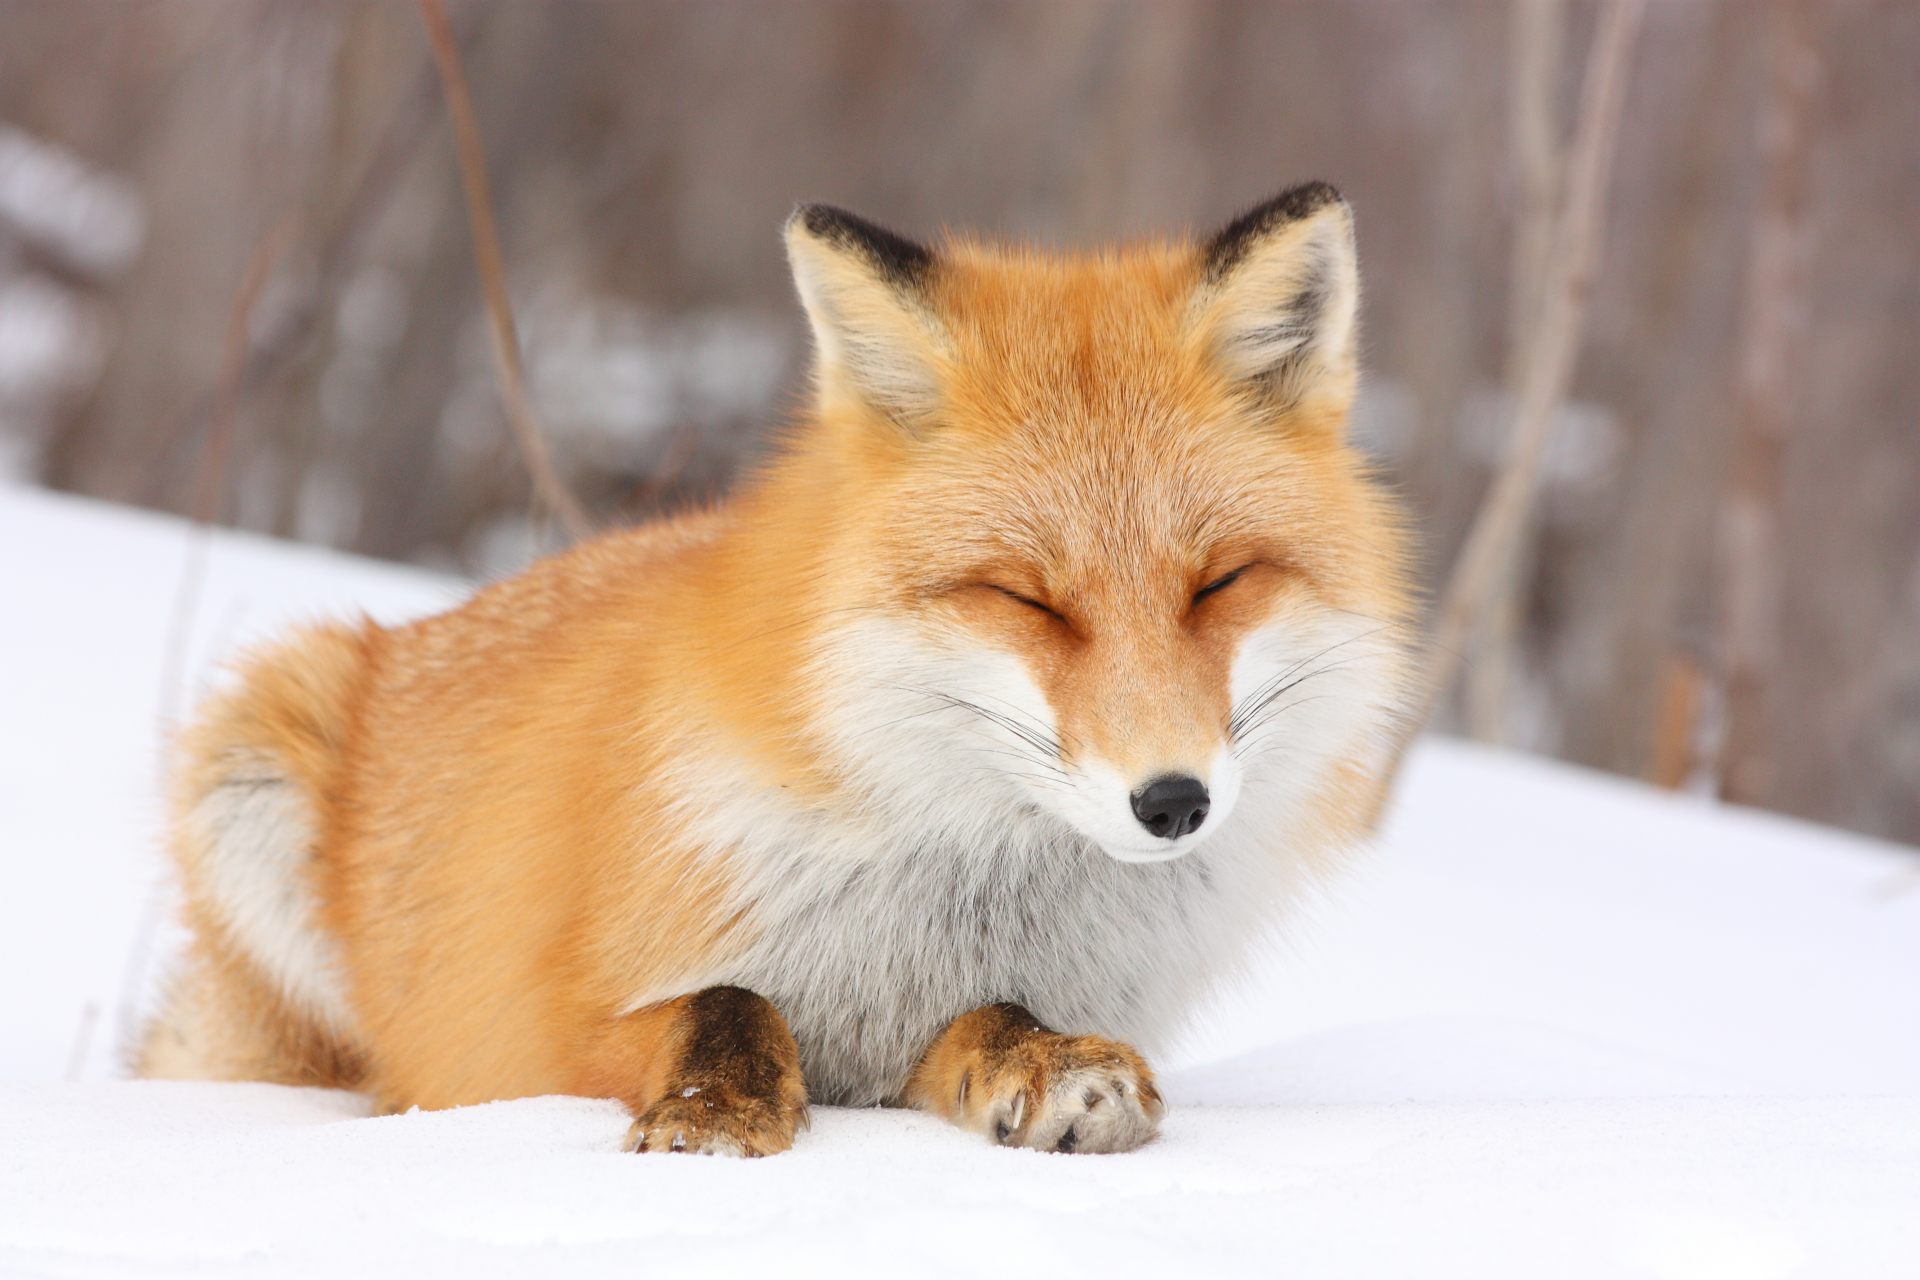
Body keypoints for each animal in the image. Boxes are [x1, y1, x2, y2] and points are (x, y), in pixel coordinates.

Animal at [139, 182, 1413, 1159]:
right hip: (254, 767)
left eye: (1219, 582)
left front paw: (1051, 1064)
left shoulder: (915, 1030)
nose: (1173, 800)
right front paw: (713, 1112)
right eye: (1027, 598)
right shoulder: (521, 1034)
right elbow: (726, 998)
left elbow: (993, 1015)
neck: (957, 871)